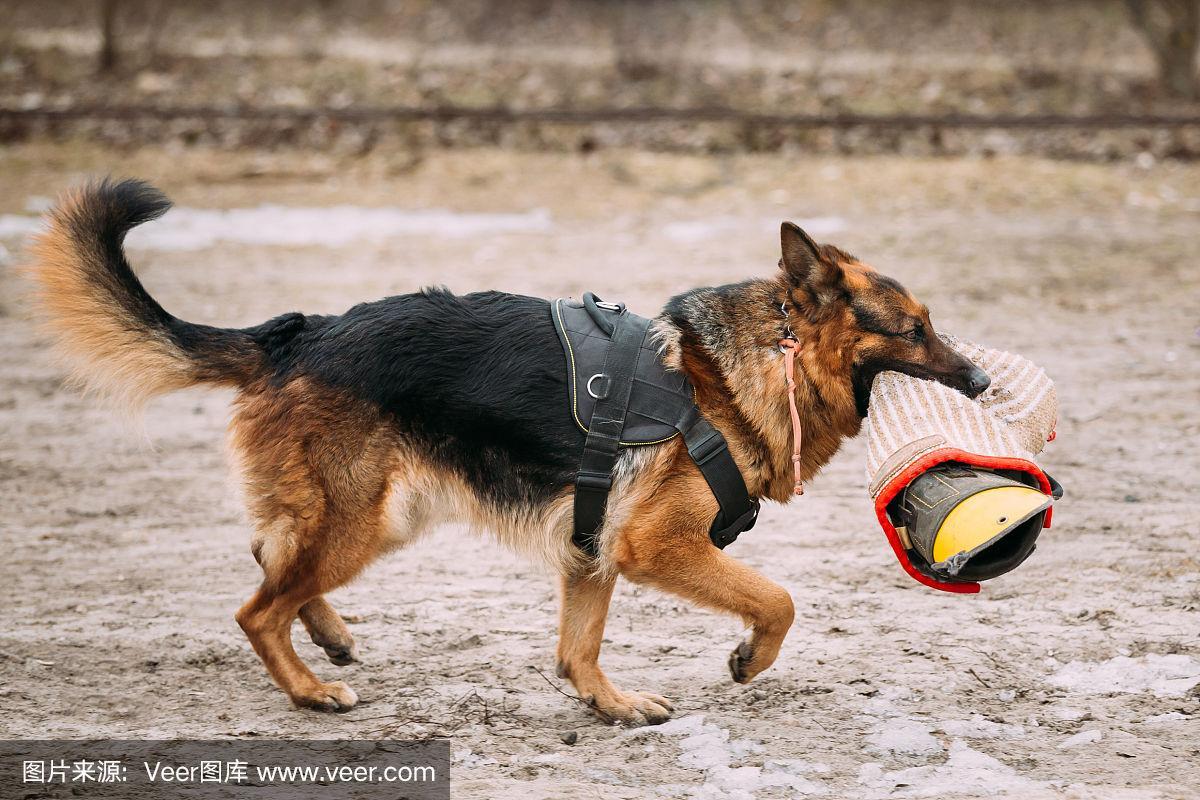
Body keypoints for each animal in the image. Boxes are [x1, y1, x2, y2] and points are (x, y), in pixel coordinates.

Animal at [28, 179, 988, 724]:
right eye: (913, 331)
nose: (979, 378)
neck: (748, 362)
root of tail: (299, 333)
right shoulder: (654, 546)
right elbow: (778, 599)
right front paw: (750, 660)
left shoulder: (593, 550)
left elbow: (578, 650)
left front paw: (608, 705)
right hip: (365, 521)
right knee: (256, 606)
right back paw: (309, 690)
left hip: (371, 517)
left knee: (271, 558)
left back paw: (327, 636)